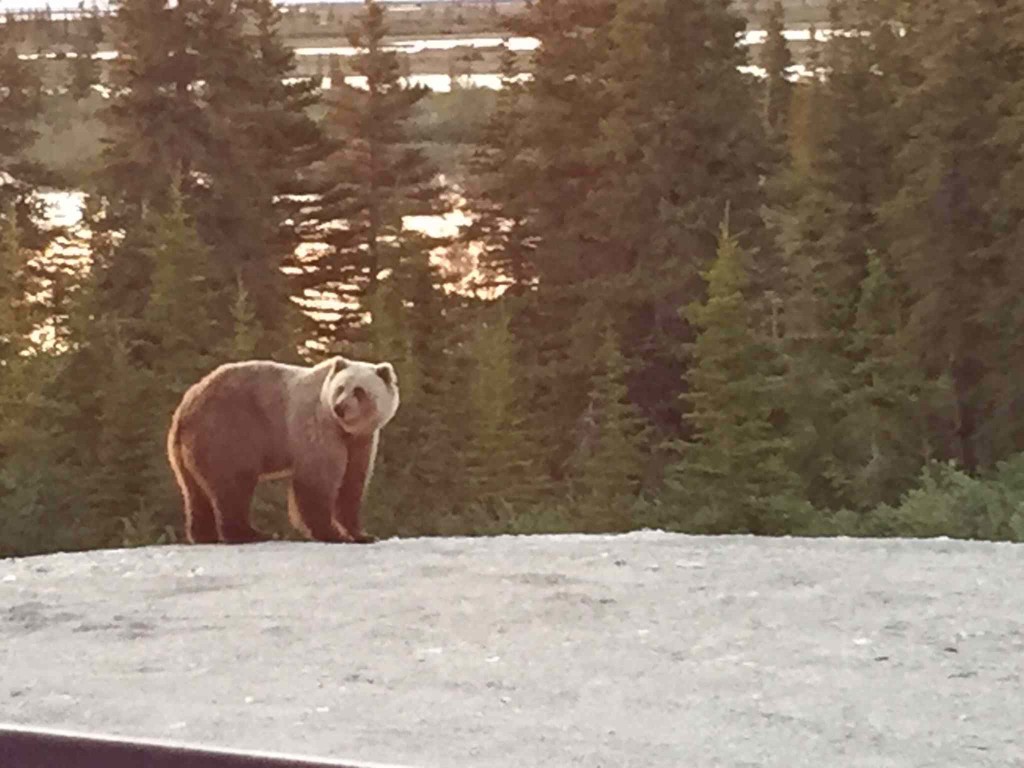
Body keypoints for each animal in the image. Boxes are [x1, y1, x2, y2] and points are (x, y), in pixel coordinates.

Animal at [166, 356, 399, 545]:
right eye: (340, 388)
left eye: (359, 391)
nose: (340, 407)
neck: (344, 430)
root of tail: (184, 408)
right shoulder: (317, 429)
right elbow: (317, 481)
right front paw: (334, 534)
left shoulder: (361, 442)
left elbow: (352, 483)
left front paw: (363, 534)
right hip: (229, 431)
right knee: (233, 483)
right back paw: (251, 533)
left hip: (186, 452)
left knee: (195, 492)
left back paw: (205, 535)